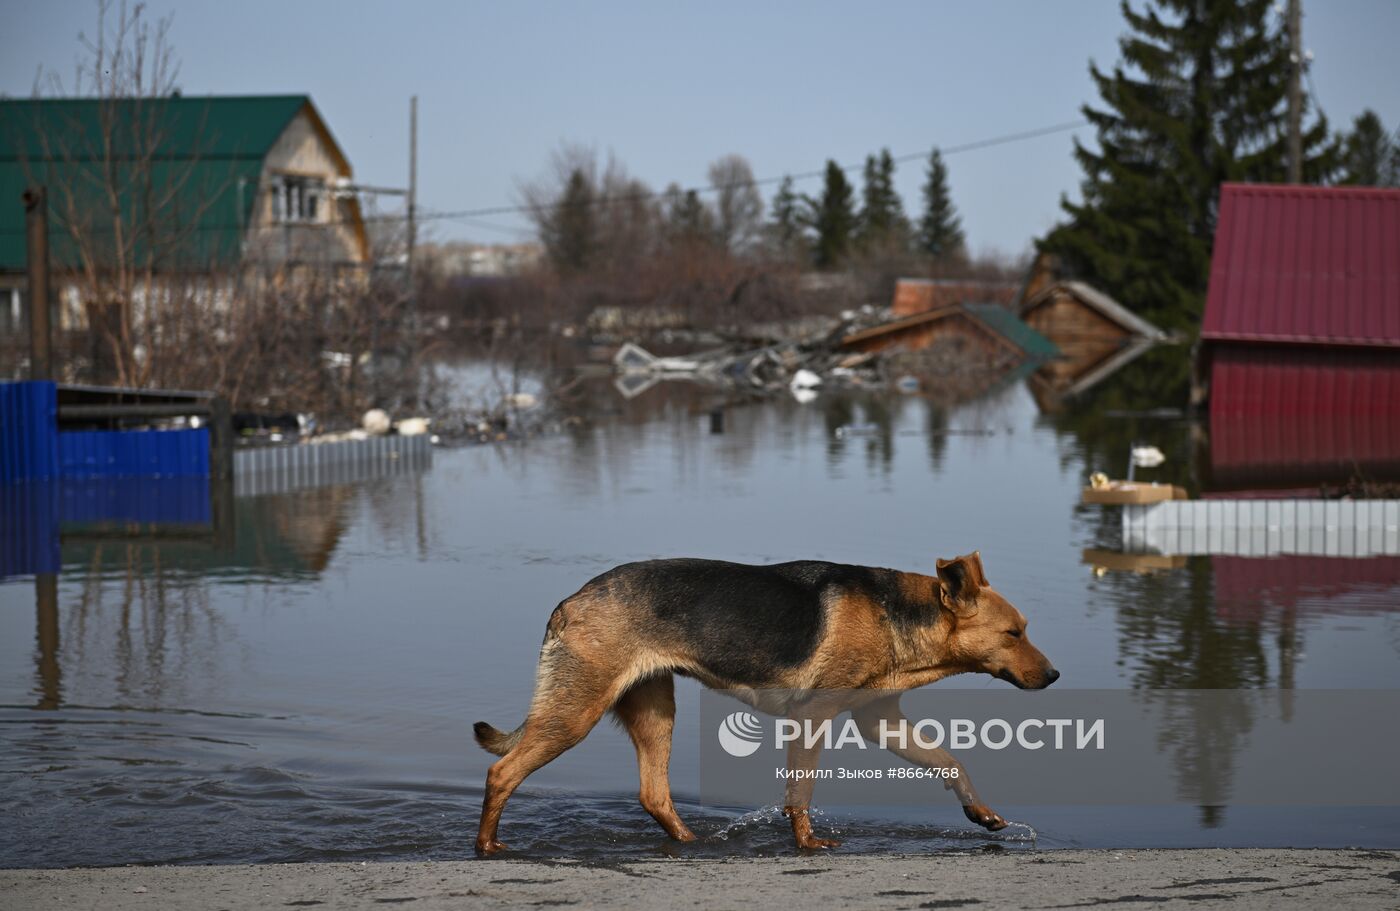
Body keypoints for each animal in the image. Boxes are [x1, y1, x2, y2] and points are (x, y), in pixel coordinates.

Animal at [473, 548, 1058, 856]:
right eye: (1013, 634)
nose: (1054, 676)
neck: (897, 616)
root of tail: (569, 604)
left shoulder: (879, 721)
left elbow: (950, 761)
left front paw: (983, 814)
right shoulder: (812, 718)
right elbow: (800, 795)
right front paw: (808, 845)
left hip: (654, 712)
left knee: (654, 795)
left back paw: (694, 843)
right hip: (575, 713)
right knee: (502, 773)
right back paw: (487, 848)